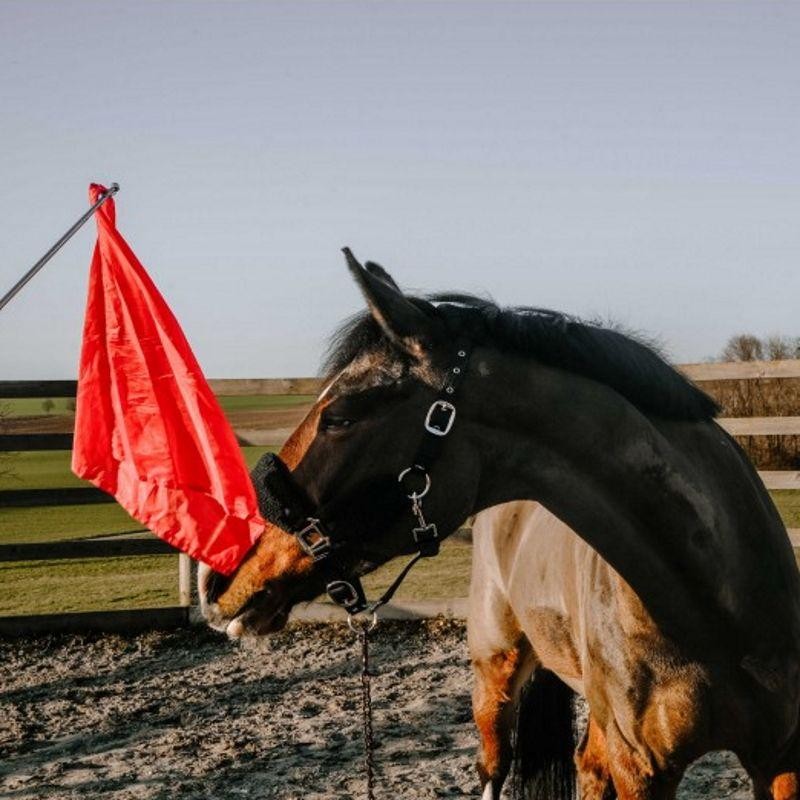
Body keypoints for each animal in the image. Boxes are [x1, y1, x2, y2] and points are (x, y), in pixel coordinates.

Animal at [200, 250, 800, 799]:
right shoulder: (642, 768)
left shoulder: (780, 758)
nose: (217, 575)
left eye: (340, 417)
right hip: (496, 673)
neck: (712, 602)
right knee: (497, 766)